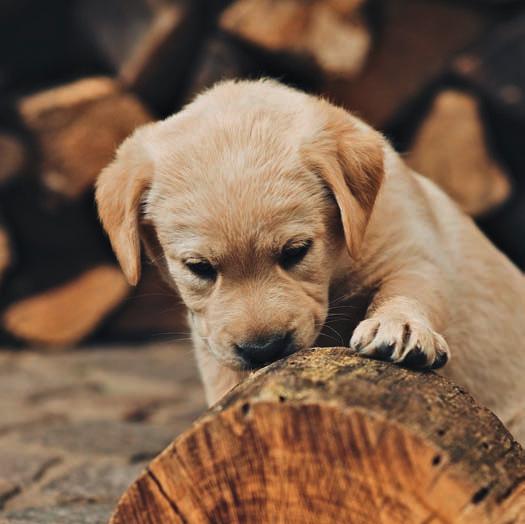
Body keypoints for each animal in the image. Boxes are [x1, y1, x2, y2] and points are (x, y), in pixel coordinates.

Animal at [95, 80, 524, 444]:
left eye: (295, 251)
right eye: (199, 268)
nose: (263, 350)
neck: (336, 269)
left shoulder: (411, 248)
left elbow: (409, 289)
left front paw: (399, 326)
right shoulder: (210, 337)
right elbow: (226, 381)